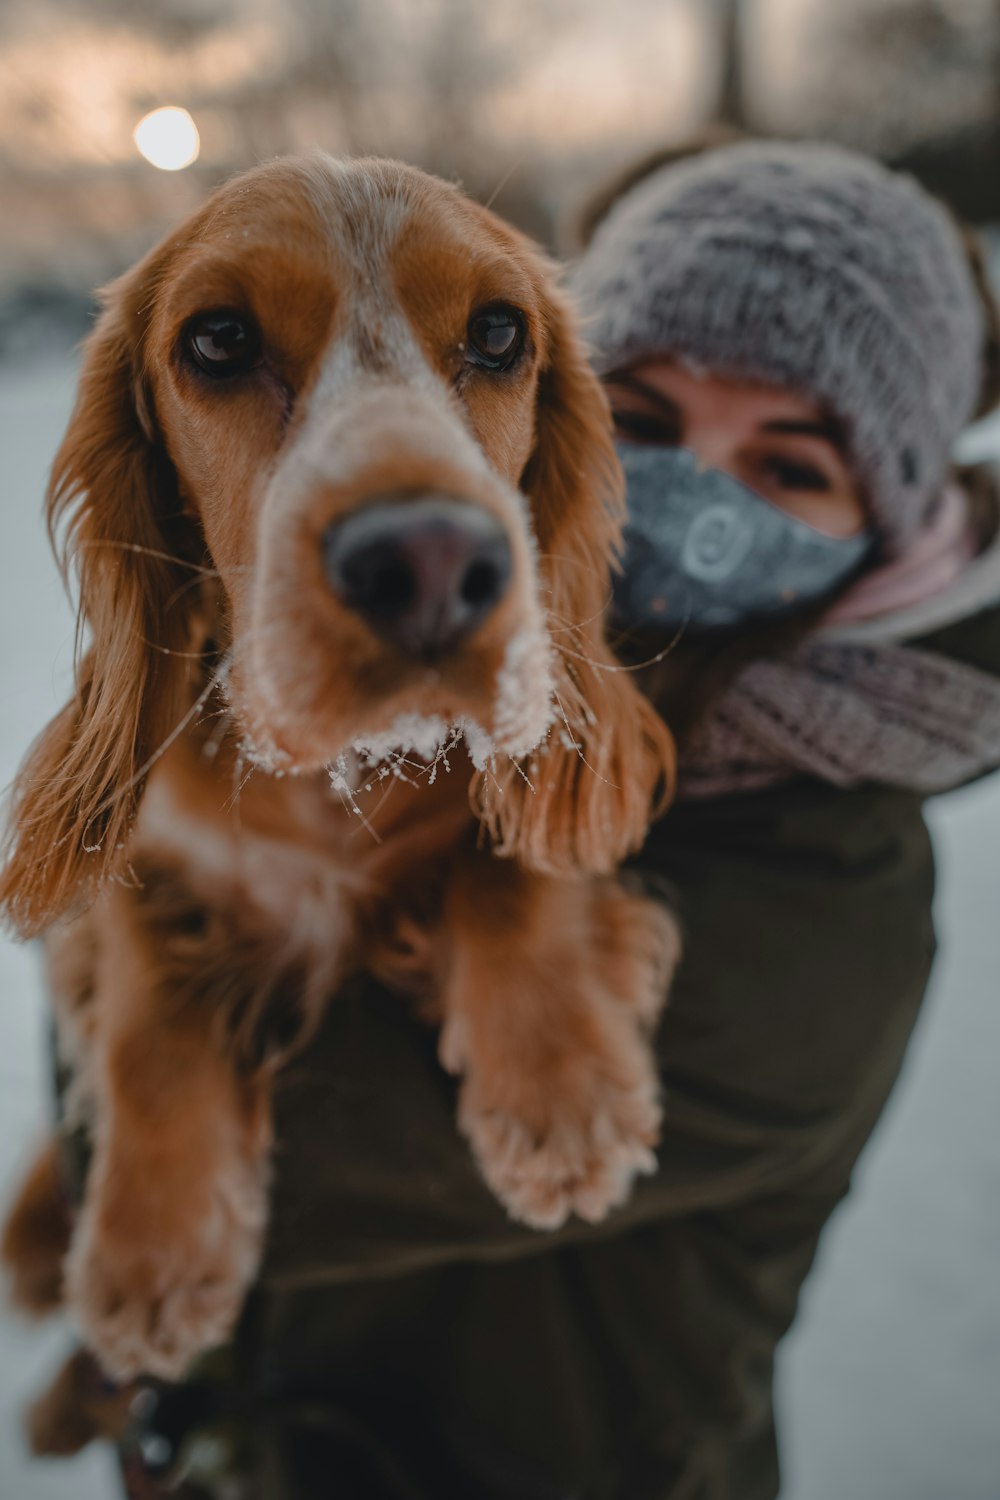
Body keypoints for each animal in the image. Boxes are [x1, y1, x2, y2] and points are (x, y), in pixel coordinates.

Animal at [0, 155, 680, 1380]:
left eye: (500, 332)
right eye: (218, 340)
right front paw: (147, 1257)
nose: (429, 562)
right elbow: (144, 1025)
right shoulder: (151, 868)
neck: (327, 786)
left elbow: (509, 874)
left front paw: (561, 1092)